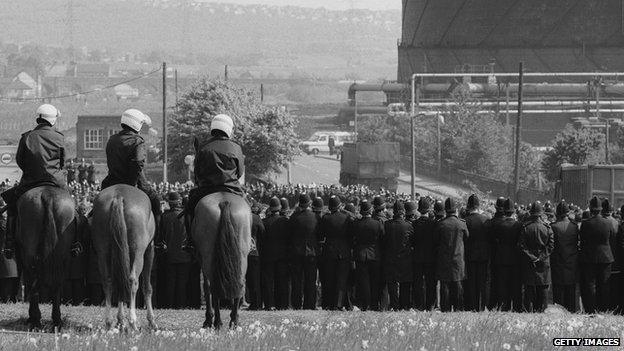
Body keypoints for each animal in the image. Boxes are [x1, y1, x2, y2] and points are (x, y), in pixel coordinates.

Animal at [17, 186, 75, 332]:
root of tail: (47, 195)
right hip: (62, 256)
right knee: (56, 283)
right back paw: (56, 321)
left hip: (29, 255)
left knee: (33, 279)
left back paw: (36, 320)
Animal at [91, 186, 157, 332]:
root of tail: (118, 195)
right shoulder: (149, 250)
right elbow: (147, 287)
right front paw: (152, 322)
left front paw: (120, 321)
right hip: (138, 253)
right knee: (132, 280)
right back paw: (133, 323)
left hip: (103, 252)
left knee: (108, 281)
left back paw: (109, 322)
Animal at [195, 192, 254, 330]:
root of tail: (224, 202)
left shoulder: (201, 258)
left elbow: (206, 287)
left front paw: (208, 319)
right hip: (242, 256)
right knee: (240, 283)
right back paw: (234, 321)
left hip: (208, 258)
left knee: (212, 287)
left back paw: (217, 322)